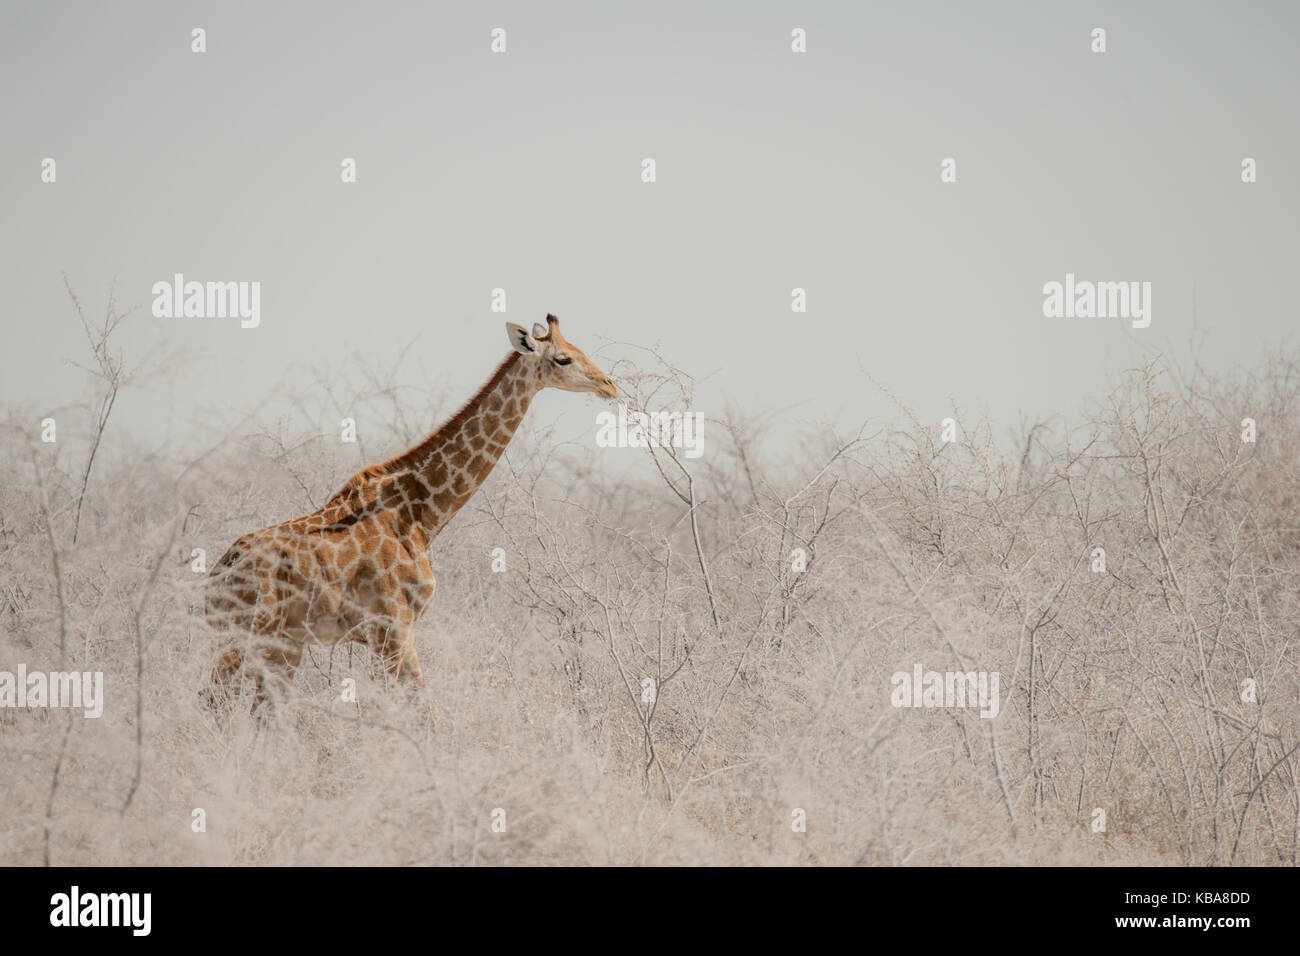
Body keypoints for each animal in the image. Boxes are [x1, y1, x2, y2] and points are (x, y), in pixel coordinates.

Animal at [204, 317, 618, 712]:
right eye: (563, 358)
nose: (610, 385)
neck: (421, 513)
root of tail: (217, 573)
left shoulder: (395, 633)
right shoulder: (391, 628)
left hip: (282, 642)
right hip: (242, 633)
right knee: (212, 700)